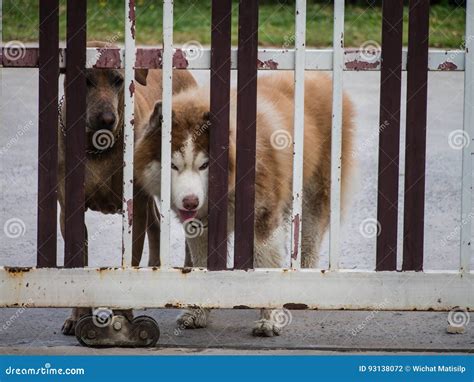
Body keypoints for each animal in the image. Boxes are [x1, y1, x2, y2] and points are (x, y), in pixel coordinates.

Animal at [58, 42, 196, 334]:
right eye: (84, 80)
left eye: (118, 80)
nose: (106, 118)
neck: (98, 147)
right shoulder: (68, 209)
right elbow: (77, 263)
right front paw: (77, 316)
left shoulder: (135, 209)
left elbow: (130, 257)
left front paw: (124, 316)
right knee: (155, 221)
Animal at [135, 71, 354, 334]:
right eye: (173, 166)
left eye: (204, 165)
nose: (190, 202)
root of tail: (320, 75)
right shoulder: (201, 229)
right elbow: (201, 267)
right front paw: (197, 312)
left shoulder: (263, 221)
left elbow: (266, 268)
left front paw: (269, 319)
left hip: (315, 195)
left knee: (310, 241)